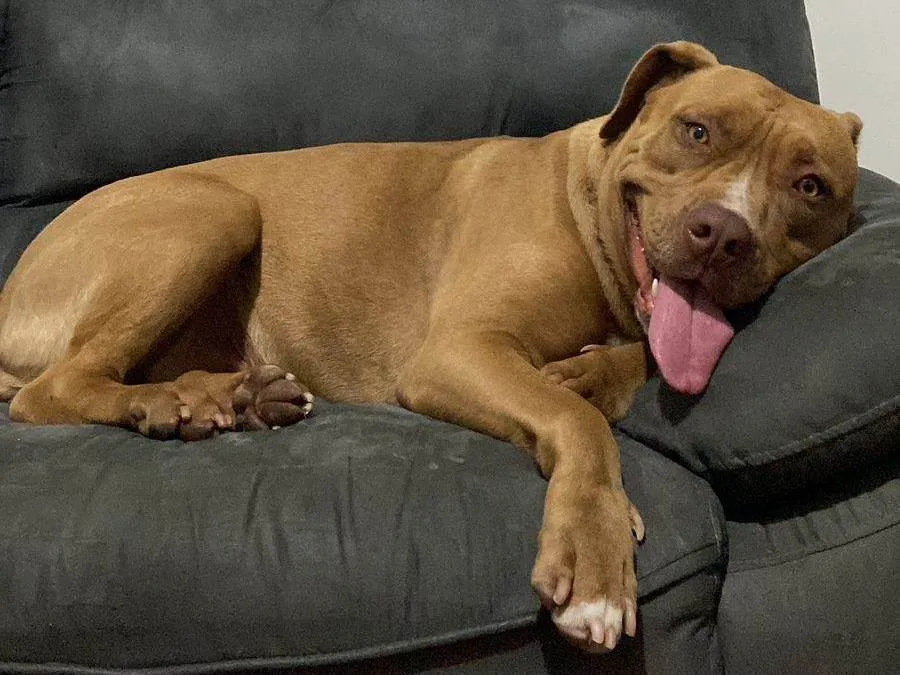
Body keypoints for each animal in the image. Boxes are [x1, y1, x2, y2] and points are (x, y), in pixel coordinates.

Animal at [0, 42, 860, 651]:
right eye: (697, 130)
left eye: (811, 186)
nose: (723, 233)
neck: (589, 215)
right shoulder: (459, 350)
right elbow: (579, 427)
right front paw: (597, 546)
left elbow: (617, 367)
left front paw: (585, 374)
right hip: (211, 212)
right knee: (56, 388)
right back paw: (166, 402)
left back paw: (233, 396)